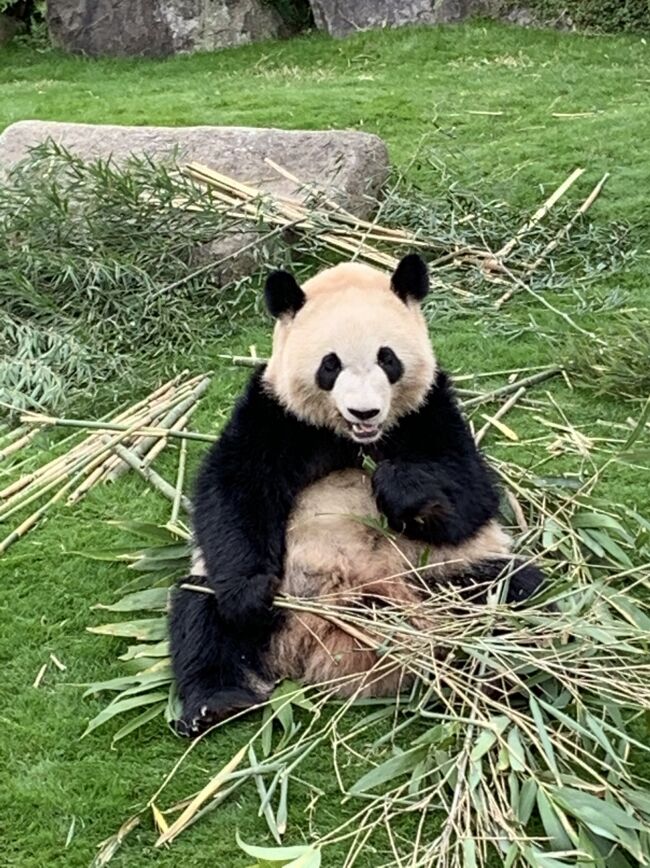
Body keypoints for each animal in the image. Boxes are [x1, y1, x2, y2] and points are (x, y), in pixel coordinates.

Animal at [168, 254, 540, 736]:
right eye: (330, 365)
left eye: (388, 359)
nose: (365, 412)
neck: (355, 437)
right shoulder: (276, 413)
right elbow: (233, 489)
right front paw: (249, 594)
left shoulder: (430, 409)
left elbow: (472, 493)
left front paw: (399, 489)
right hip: (268, 599)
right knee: (201, 616)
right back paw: (216, 703)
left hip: (448, 575)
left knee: (511, 592)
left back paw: (504, 673)